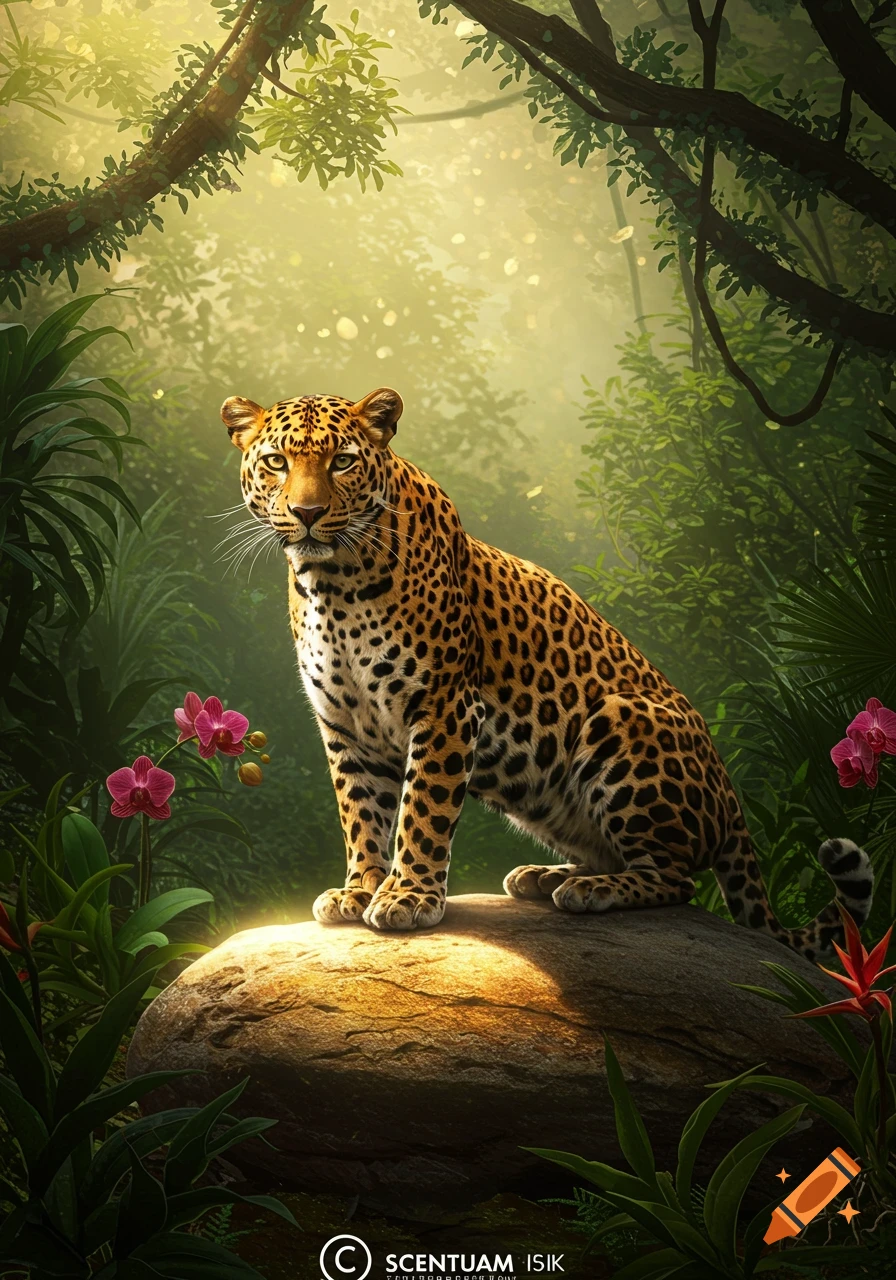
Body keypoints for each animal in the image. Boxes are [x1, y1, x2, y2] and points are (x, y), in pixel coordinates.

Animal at [221, 385, 872, 960]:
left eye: (344, 461)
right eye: (277, 462)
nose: (307, 513)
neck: (332, 584)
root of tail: (732, 800)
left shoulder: (444, 706)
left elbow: (421, 809)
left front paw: (408, 897)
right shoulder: (345, 724)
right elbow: (360, 813)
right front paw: (358, 890)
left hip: (621, 719)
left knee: (677, 876)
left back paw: (587, 890)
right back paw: (544, 876)